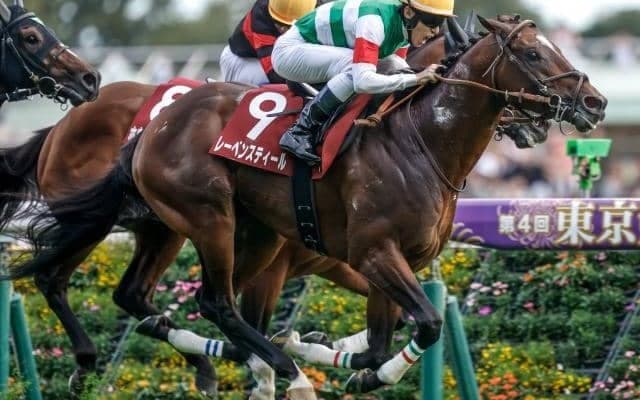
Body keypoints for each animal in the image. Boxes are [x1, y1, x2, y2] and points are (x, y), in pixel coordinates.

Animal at [7, 14, 606, 398]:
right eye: (532, 53)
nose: (594, 101)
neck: (419, 142)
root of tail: (153, 126)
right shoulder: (370, 253)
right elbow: (429, 321)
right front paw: (307, 355)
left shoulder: (383, 261)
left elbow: (385, 337)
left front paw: (339, 357)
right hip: (207, 218)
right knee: (203, 299)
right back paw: (277, 370)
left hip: (228, 232)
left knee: (145, 295)